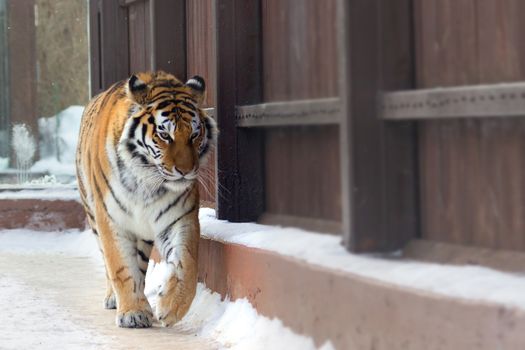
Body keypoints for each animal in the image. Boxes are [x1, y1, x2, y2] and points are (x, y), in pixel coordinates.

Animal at [74, 71, 216, 328]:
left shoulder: (179, 218)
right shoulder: (110, 219)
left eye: (194, 134)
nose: (186, 171)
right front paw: (133, 313)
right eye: (164, 135)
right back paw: (114, 298)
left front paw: (171, 307)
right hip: (92, 214)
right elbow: (120, 267)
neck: (147, 184)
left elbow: (186, 263)